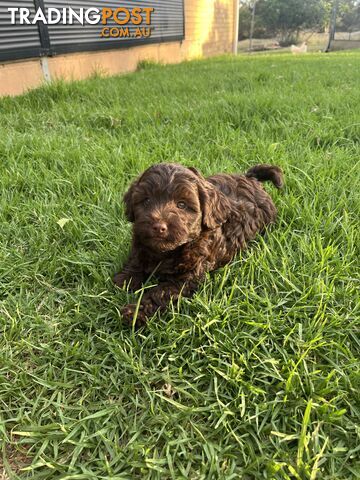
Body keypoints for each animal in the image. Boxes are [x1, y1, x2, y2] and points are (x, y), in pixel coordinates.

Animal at [114, 162, 282, 326]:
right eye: (147, 200)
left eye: (181, 205)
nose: (158, 227)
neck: (167, 252)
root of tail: (251, 178)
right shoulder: (140, 244)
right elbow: (136, 261)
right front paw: (124, 280)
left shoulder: (186, 279)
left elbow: (160, 293)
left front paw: (135, 313)